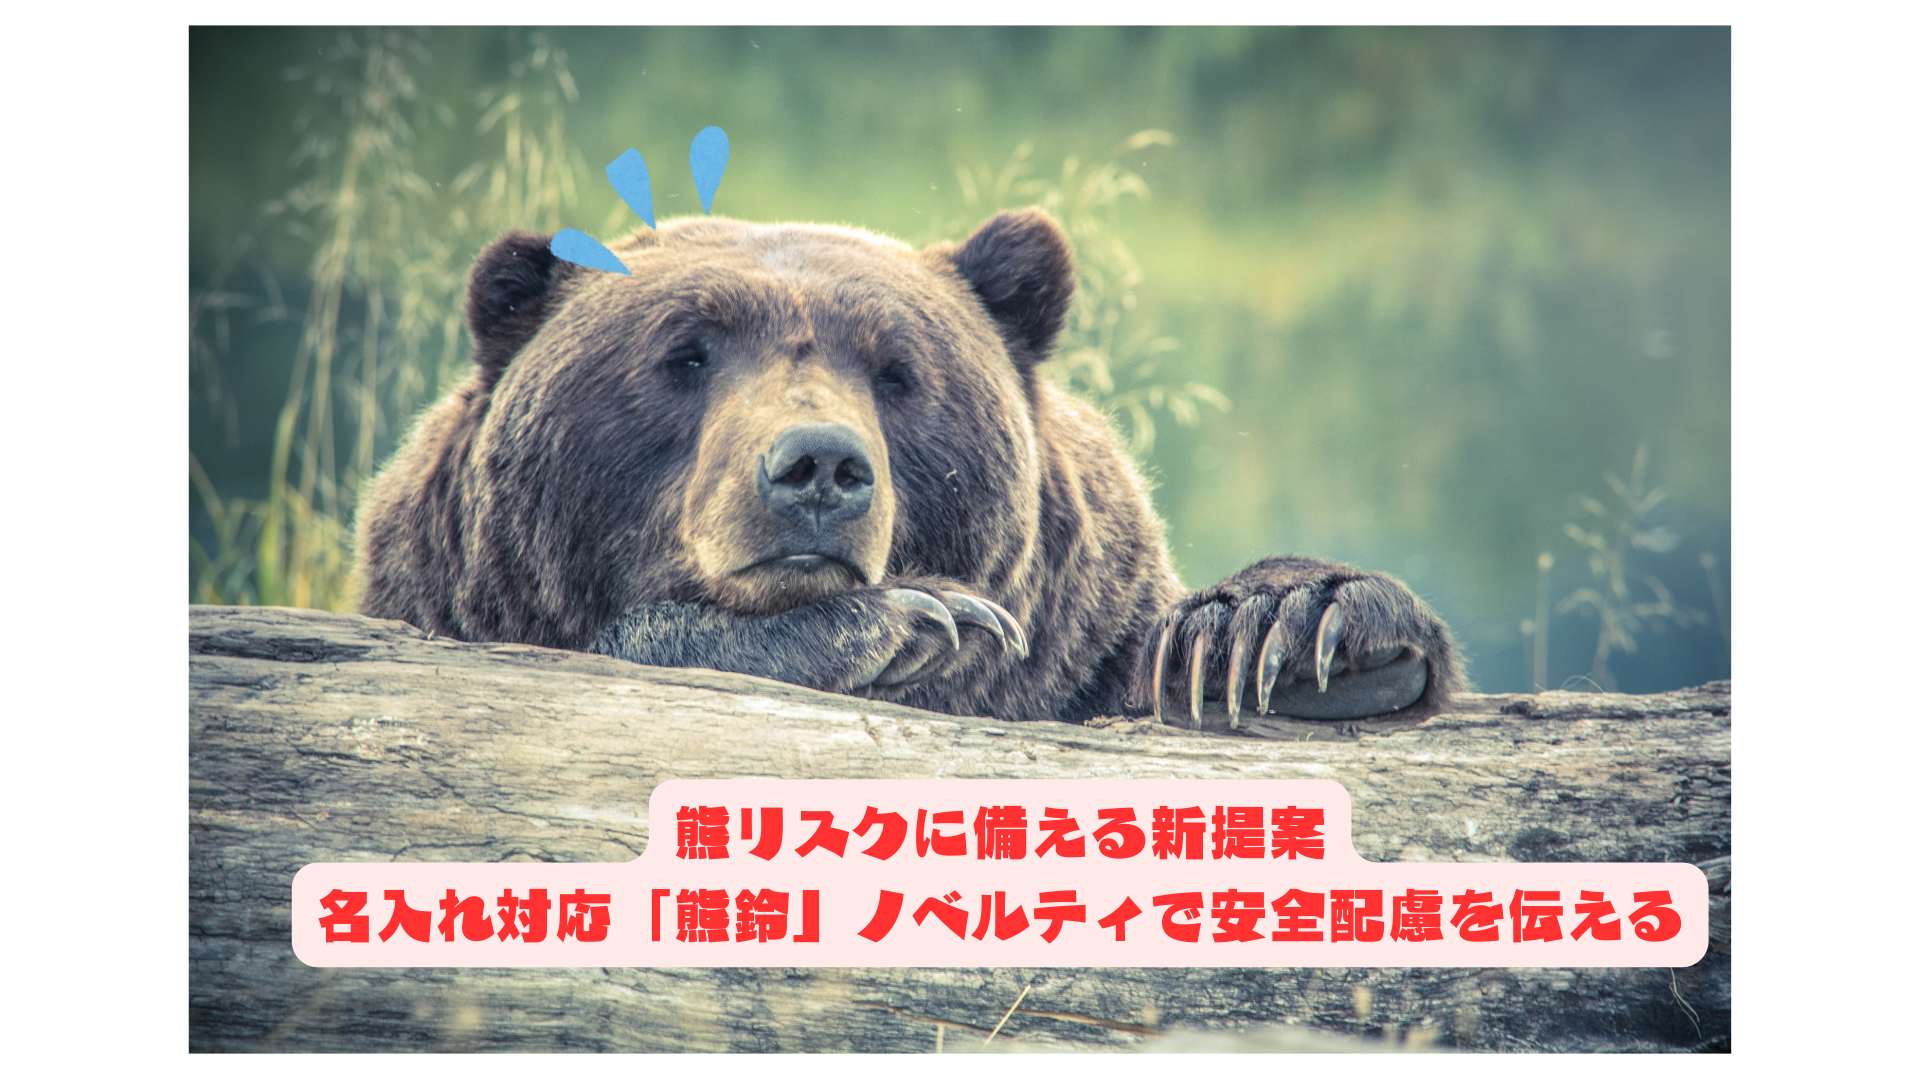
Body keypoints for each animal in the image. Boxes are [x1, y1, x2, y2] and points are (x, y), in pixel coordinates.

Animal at [355, 208, 1462, 728]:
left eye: (896, 371)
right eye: (686, 354)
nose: (818, 466)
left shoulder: (1083, 640)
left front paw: (1282, 631)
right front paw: (911, 620)